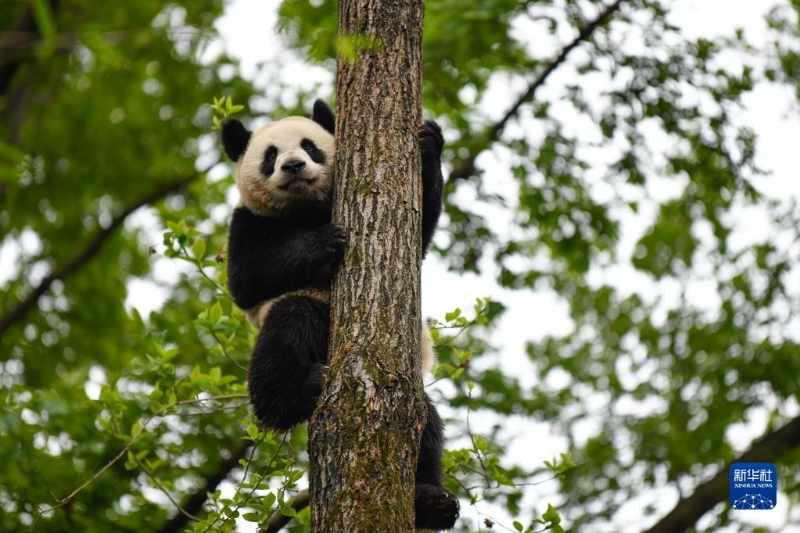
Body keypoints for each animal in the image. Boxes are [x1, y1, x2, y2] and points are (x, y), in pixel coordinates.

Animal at [222, 98, 460, 528]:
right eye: (271, 156)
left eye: (309, 146)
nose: (293, 166)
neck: (304, 209)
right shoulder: (246, 222)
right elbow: (247, 277)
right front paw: (324, 241)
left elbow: (419, 235)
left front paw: (430, 142)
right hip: (306, 319)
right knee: (288, 325)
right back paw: (295, 394)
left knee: (427, 425)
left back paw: (431, 501)